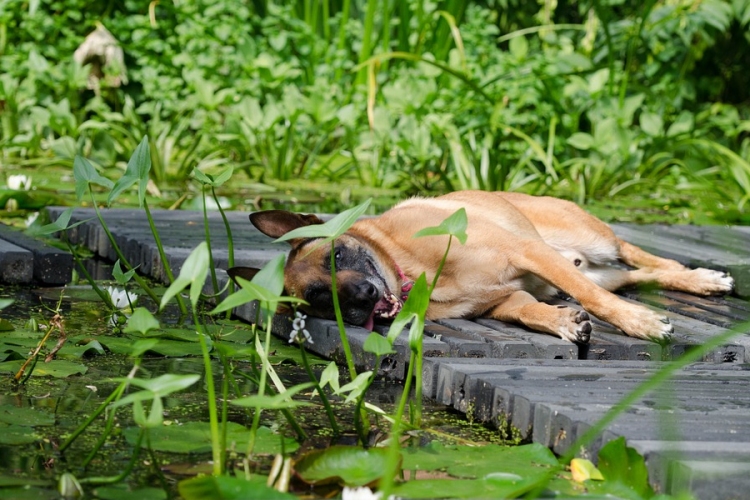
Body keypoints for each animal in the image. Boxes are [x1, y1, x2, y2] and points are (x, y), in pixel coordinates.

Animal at [228, 191, 736, 344]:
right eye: (317, 299)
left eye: (336, 257)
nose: (360, 300)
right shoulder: (503, 300)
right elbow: (528, 310)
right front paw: (563, 322)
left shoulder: (527, 253)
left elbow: (596, 300)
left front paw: (639, 323)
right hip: (596, 267)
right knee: (637, 276)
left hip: (594, 241)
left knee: (639, 256)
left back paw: (702, 277)